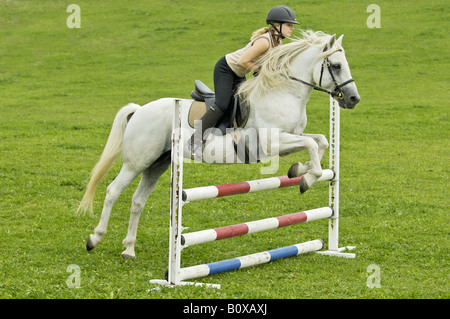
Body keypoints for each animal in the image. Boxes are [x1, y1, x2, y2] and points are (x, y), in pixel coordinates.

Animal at [76, 31, 358, 258]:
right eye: (335, 65)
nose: (353, 99)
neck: (282, 91)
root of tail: (140, 110)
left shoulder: (289, 139)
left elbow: (320, 142)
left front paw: (299, 170)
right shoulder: (271, 143)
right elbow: (312, 145)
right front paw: (307, 179)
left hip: (158, 163)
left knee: (137, 200)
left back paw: (129, 249)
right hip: (137, 162)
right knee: (113, 191)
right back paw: (94, 238)